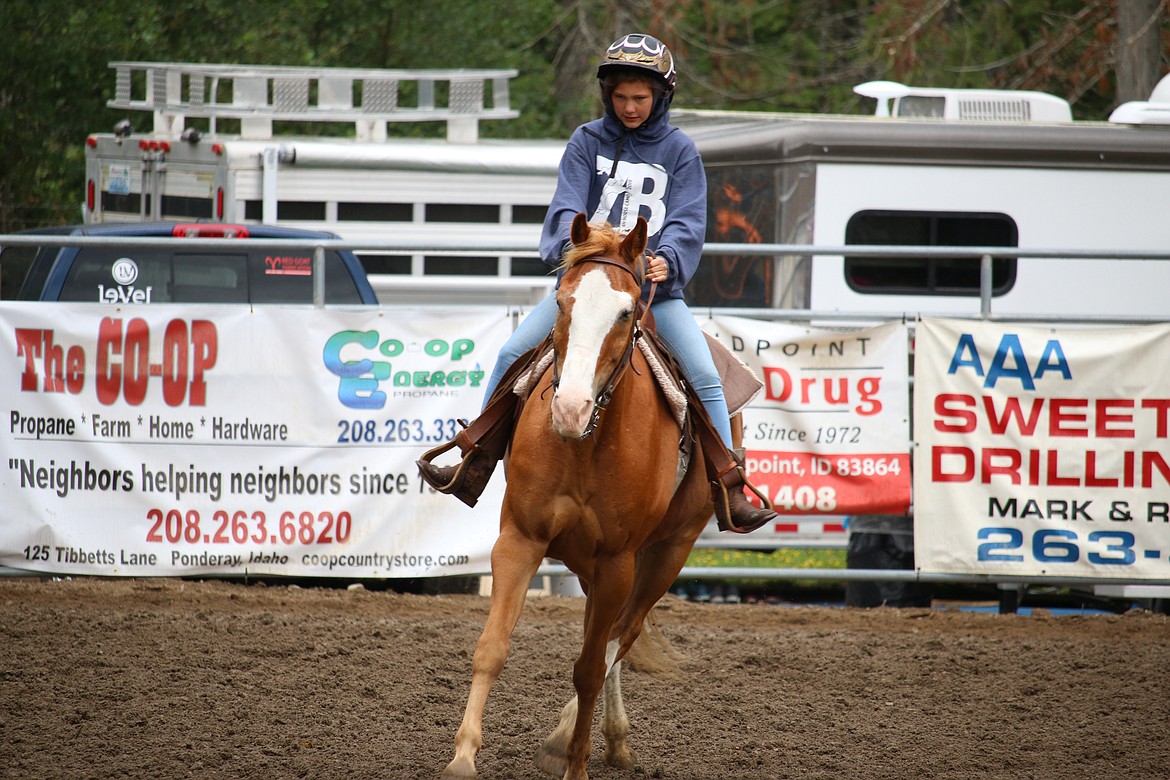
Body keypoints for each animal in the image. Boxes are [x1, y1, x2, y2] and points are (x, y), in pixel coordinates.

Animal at [441, 213, 717, 780]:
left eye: (626, 310)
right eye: (563, 300)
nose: (569, 407)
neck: (582, 445)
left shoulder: (618, 562)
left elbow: (590, 667)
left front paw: (574, 762)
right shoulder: (519, 540)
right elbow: (491, 647)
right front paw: (463, 756)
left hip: (666, 554)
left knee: (621, 637)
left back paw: (575, 737)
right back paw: (608, 738)